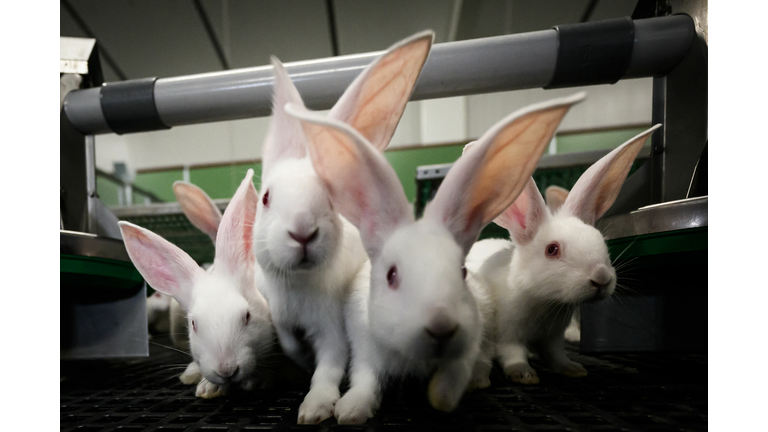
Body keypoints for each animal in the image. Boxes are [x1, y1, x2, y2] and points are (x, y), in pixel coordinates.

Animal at [255, 31, 434, 424]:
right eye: (265, 197)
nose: (302, 231)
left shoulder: (333, 330)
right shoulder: (281, 318)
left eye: (331, 198)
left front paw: (314, 407)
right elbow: (290, 345)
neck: (298, 284)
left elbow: (329, 368)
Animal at [286, 91, 585, 424]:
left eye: (462, 272)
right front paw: (351, 411)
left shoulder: (469, 340)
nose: (441, 326)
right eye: (391, 275)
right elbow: (366, 379)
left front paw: (442, 398)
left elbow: (456, 374)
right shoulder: (364, 348)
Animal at [465, 124, 661, 385]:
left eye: (600, 240)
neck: (546, 302)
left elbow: (556, 355)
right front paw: (524, 374)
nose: (601, 278)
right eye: (552, 249)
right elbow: (512, 353)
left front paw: (573, 369)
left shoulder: (553, 338)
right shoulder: (507, 334)